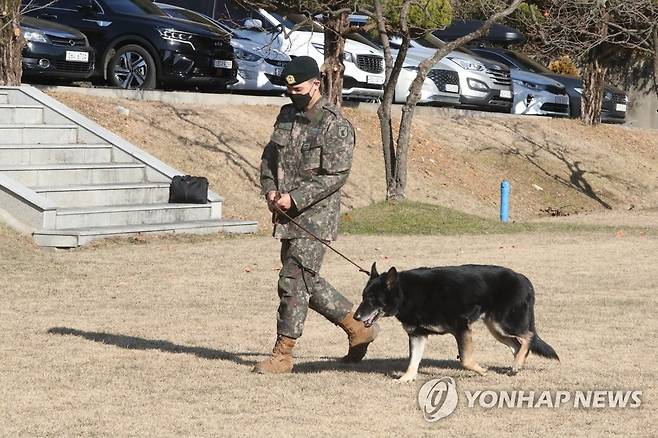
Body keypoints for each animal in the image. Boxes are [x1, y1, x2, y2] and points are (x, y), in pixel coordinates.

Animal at [354, 264, 560, 380]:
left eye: (372, 299)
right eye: (363, 296)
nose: (356, 317)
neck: (407, 293)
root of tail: (525, 280)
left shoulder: (462, 328)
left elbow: (466, 360)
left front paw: (482, 371)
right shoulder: (418, 335)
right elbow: (413, 361)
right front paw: (407, 378)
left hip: (504, 322)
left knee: (528, 336)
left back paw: (516, 365)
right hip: (496, 328)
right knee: (518, 345)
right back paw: (516, 366)